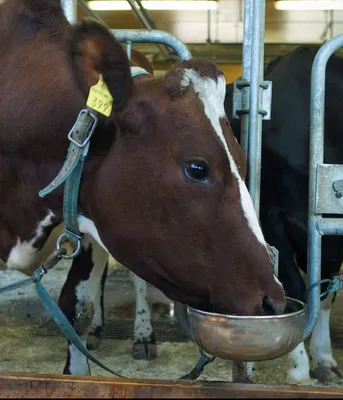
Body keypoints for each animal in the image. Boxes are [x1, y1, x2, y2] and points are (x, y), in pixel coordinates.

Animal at [0, 0, 284, 376]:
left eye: (242, 160)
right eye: (197, 168)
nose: (273, 300)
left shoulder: (88, 222)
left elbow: (77, 310)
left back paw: (143, 335)